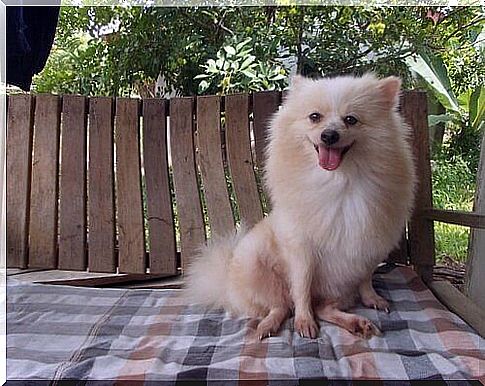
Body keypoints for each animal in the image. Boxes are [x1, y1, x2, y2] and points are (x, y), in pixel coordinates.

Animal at [185, 74, 416, 340]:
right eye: (315, 117)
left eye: (351, 119)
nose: (329, 135)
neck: (339, 181)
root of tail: (225, 282)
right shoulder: (302, 250)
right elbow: (302, 289)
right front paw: (304, 321)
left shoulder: (368, 247)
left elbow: (366, 278)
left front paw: (372, 299)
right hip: (256, 266)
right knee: (281, 305)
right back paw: (268, 325)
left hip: (340, 286)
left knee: (324, 308)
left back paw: (358, 323)